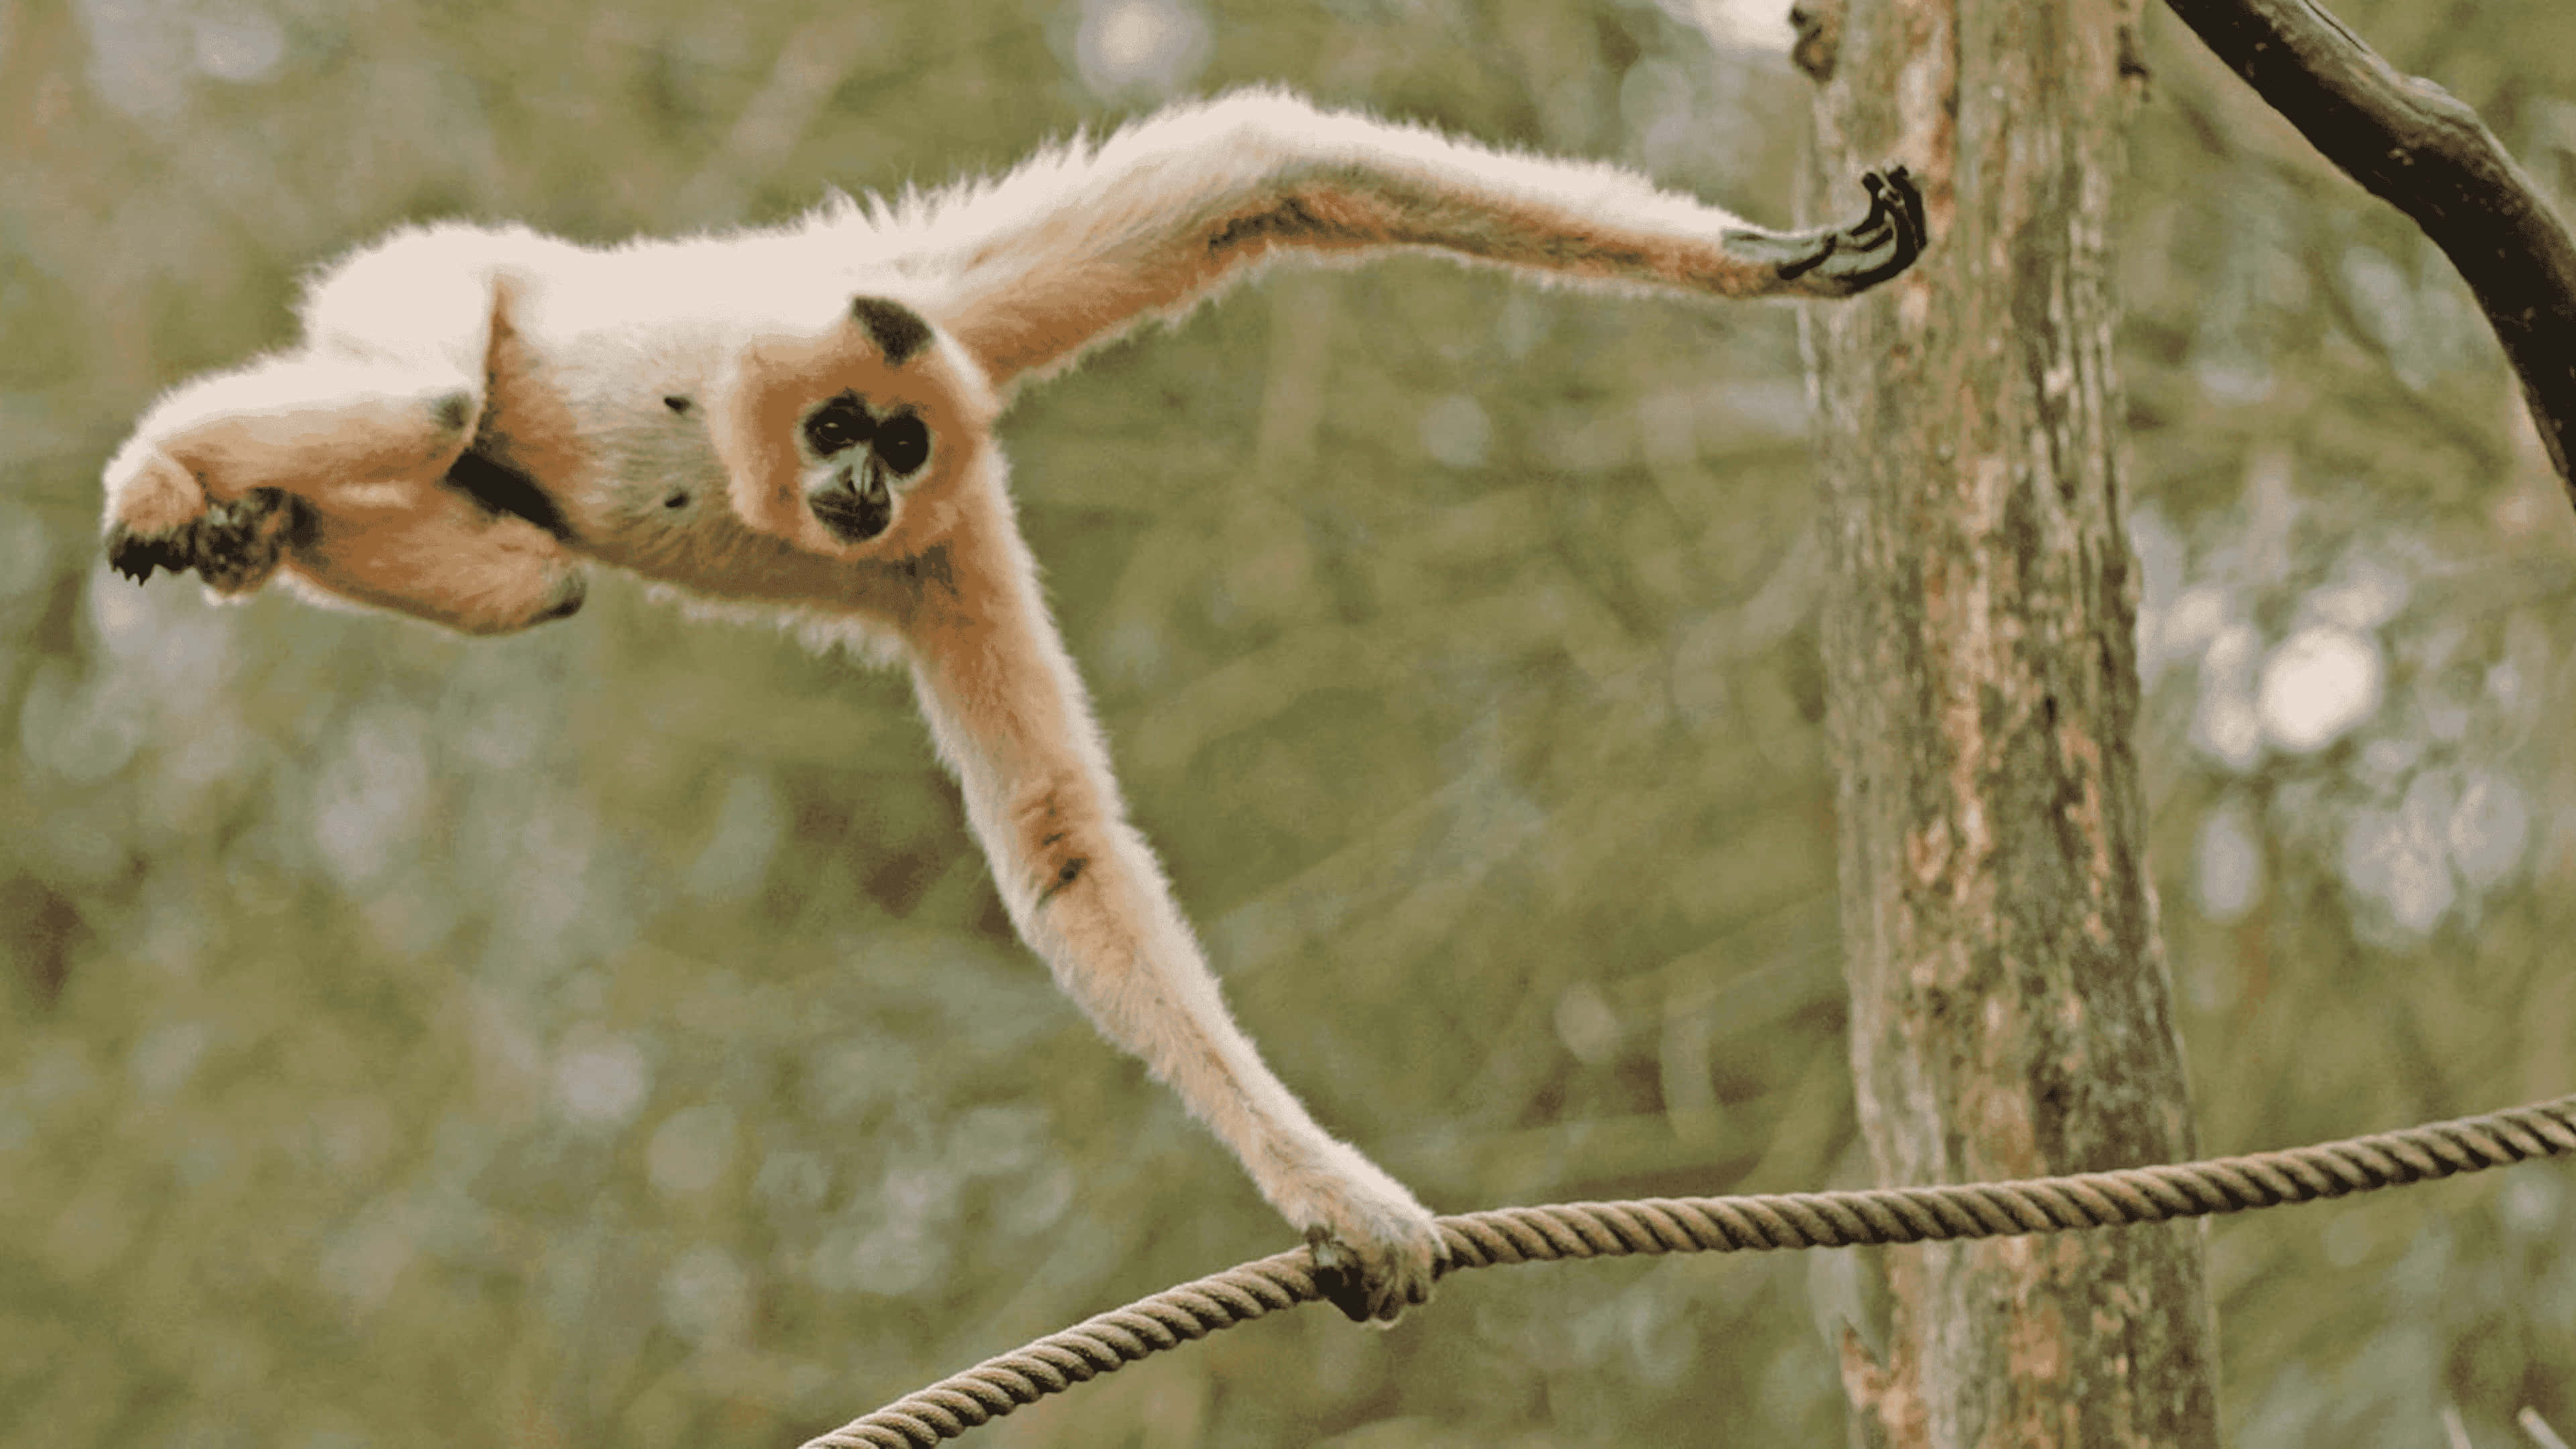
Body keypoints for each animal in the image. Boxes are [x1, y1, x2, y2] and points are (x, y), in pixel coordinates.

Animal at [98, 90, 1926, 1322]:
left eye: (899, 441)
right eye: (840, 422)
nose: (857, 476)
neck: (733, 441)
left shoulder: (948, 512)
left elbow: (1263, 178)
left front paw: (1768, 258)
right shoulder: (904, 360)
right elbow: (1257, 167)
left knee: (525, 565)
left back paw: (252, 528)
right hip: (443, 267)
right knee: (433, 392)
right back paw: (169, 475)